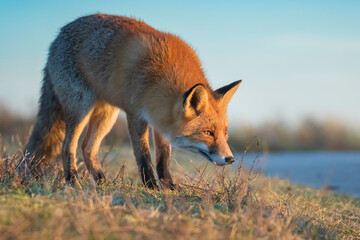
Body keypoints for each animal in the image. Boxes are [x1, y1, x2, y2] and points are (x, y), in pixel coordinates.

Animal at [19, 13, 242, 189]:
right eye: (208, 132)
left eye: (225, 133)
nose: (230, 159)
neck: (161, 77)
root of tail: (57, 36)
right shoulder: (135, 114)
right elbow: (143, 154)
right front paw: (152, 187)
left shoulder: (160, 119)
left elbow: (164, 157)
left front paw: (169, 187)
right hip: (81, 108)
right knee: (68, 146)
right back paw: (73, 181)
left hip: (106, 115)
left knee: (88, 147)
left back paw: (102, 182)